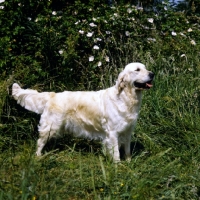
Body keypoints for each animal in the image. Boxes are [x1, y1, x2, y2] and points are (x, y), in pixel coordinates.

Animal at [12, 63, 153, 162]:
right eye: (137, 70)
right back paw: (38, 157)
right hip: (51, 127)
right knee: (40, 142)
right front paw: (118, 168)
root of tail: (52, 95)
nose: (152, 74)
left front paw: (129, 163)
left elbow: (128, 150)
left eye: (145, 68)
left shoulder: (128, 131)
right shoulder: (112, 133)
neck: (126, 98)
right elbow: (116, 154)